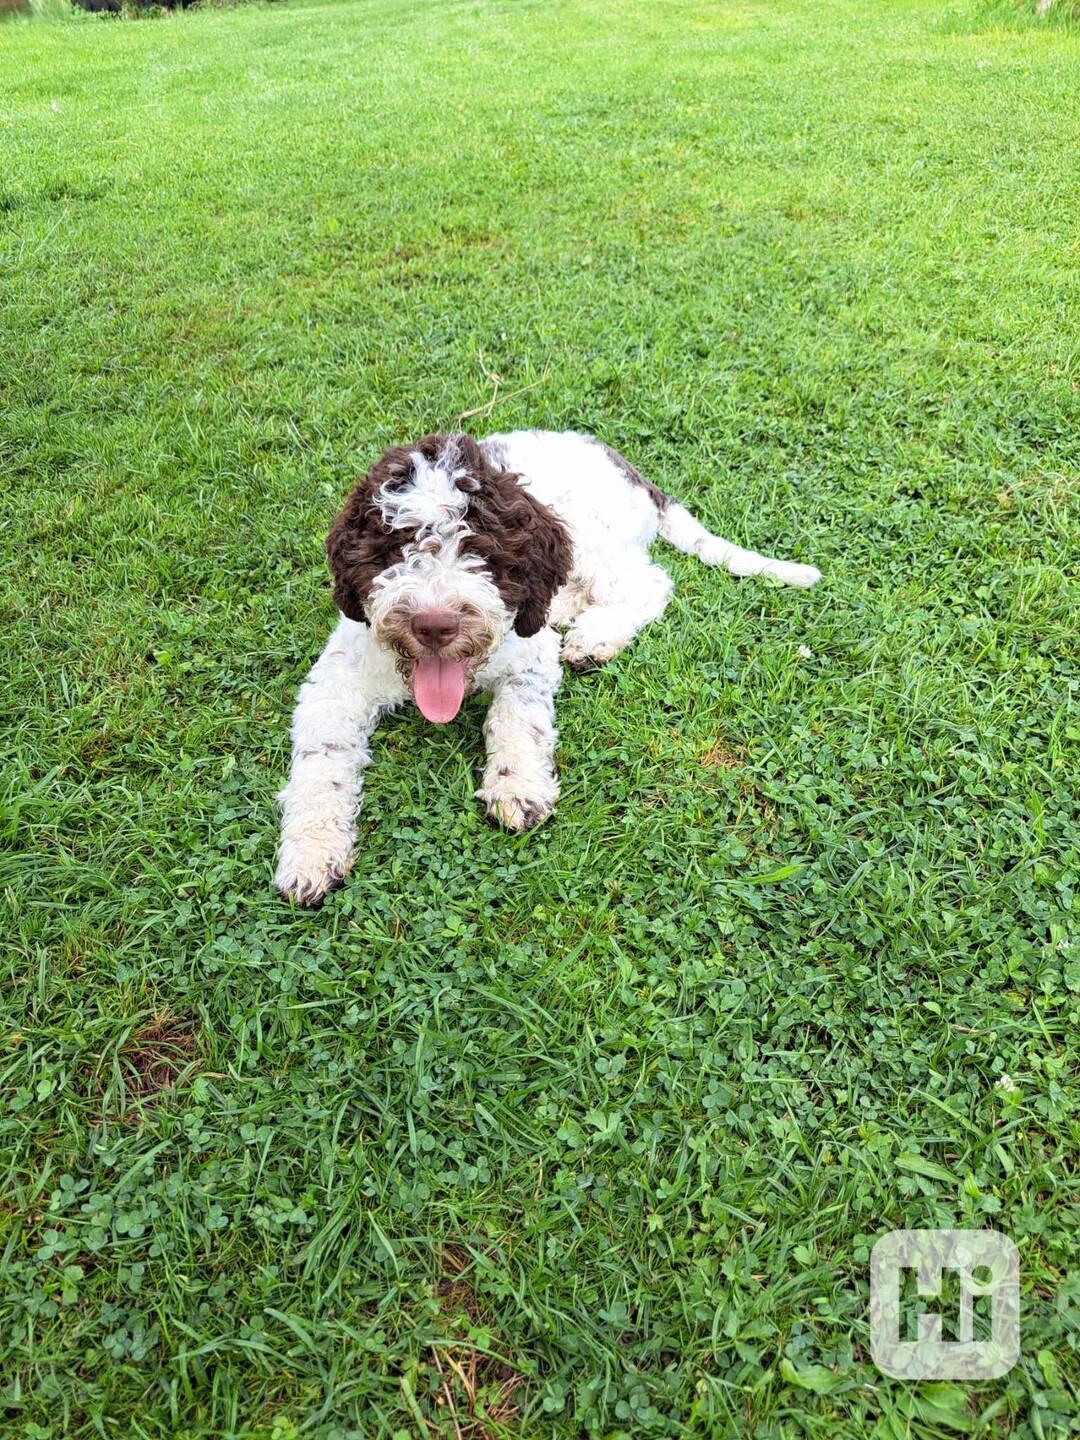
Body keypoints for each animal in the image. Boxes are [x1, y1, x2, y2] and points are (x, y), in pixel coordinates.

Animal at [272, 426, 817, 904]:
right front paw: (311, 852)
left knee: (648, 581)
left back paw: (596, 635)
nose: (434, 625)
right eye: (395, 546)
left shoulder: (529, 660)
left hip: (594, 536)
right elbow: (320, 765)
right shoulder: (335, 682)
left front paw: (517, 785)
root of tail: (623, 465)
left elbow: (518, 719)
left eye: (479, 549)